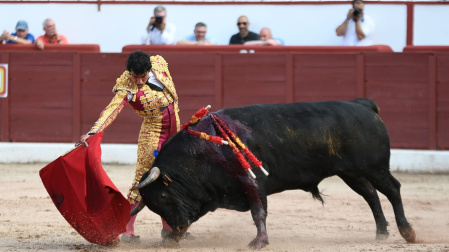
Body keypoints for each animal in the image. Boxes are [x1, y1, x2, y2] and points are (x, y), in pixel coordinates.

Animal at [131, 98, 414, 248]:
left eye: (163, 197)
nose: (174, 232)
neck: (204, 149)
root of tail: (362, 105)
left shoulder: (252, 182)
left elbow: (259, 212)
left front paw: (259, 242)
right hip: (352, 172)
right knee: (371, 194)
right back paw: (381, 232)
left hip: (375, 167)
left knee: (392, 190)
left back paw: (407, 231)